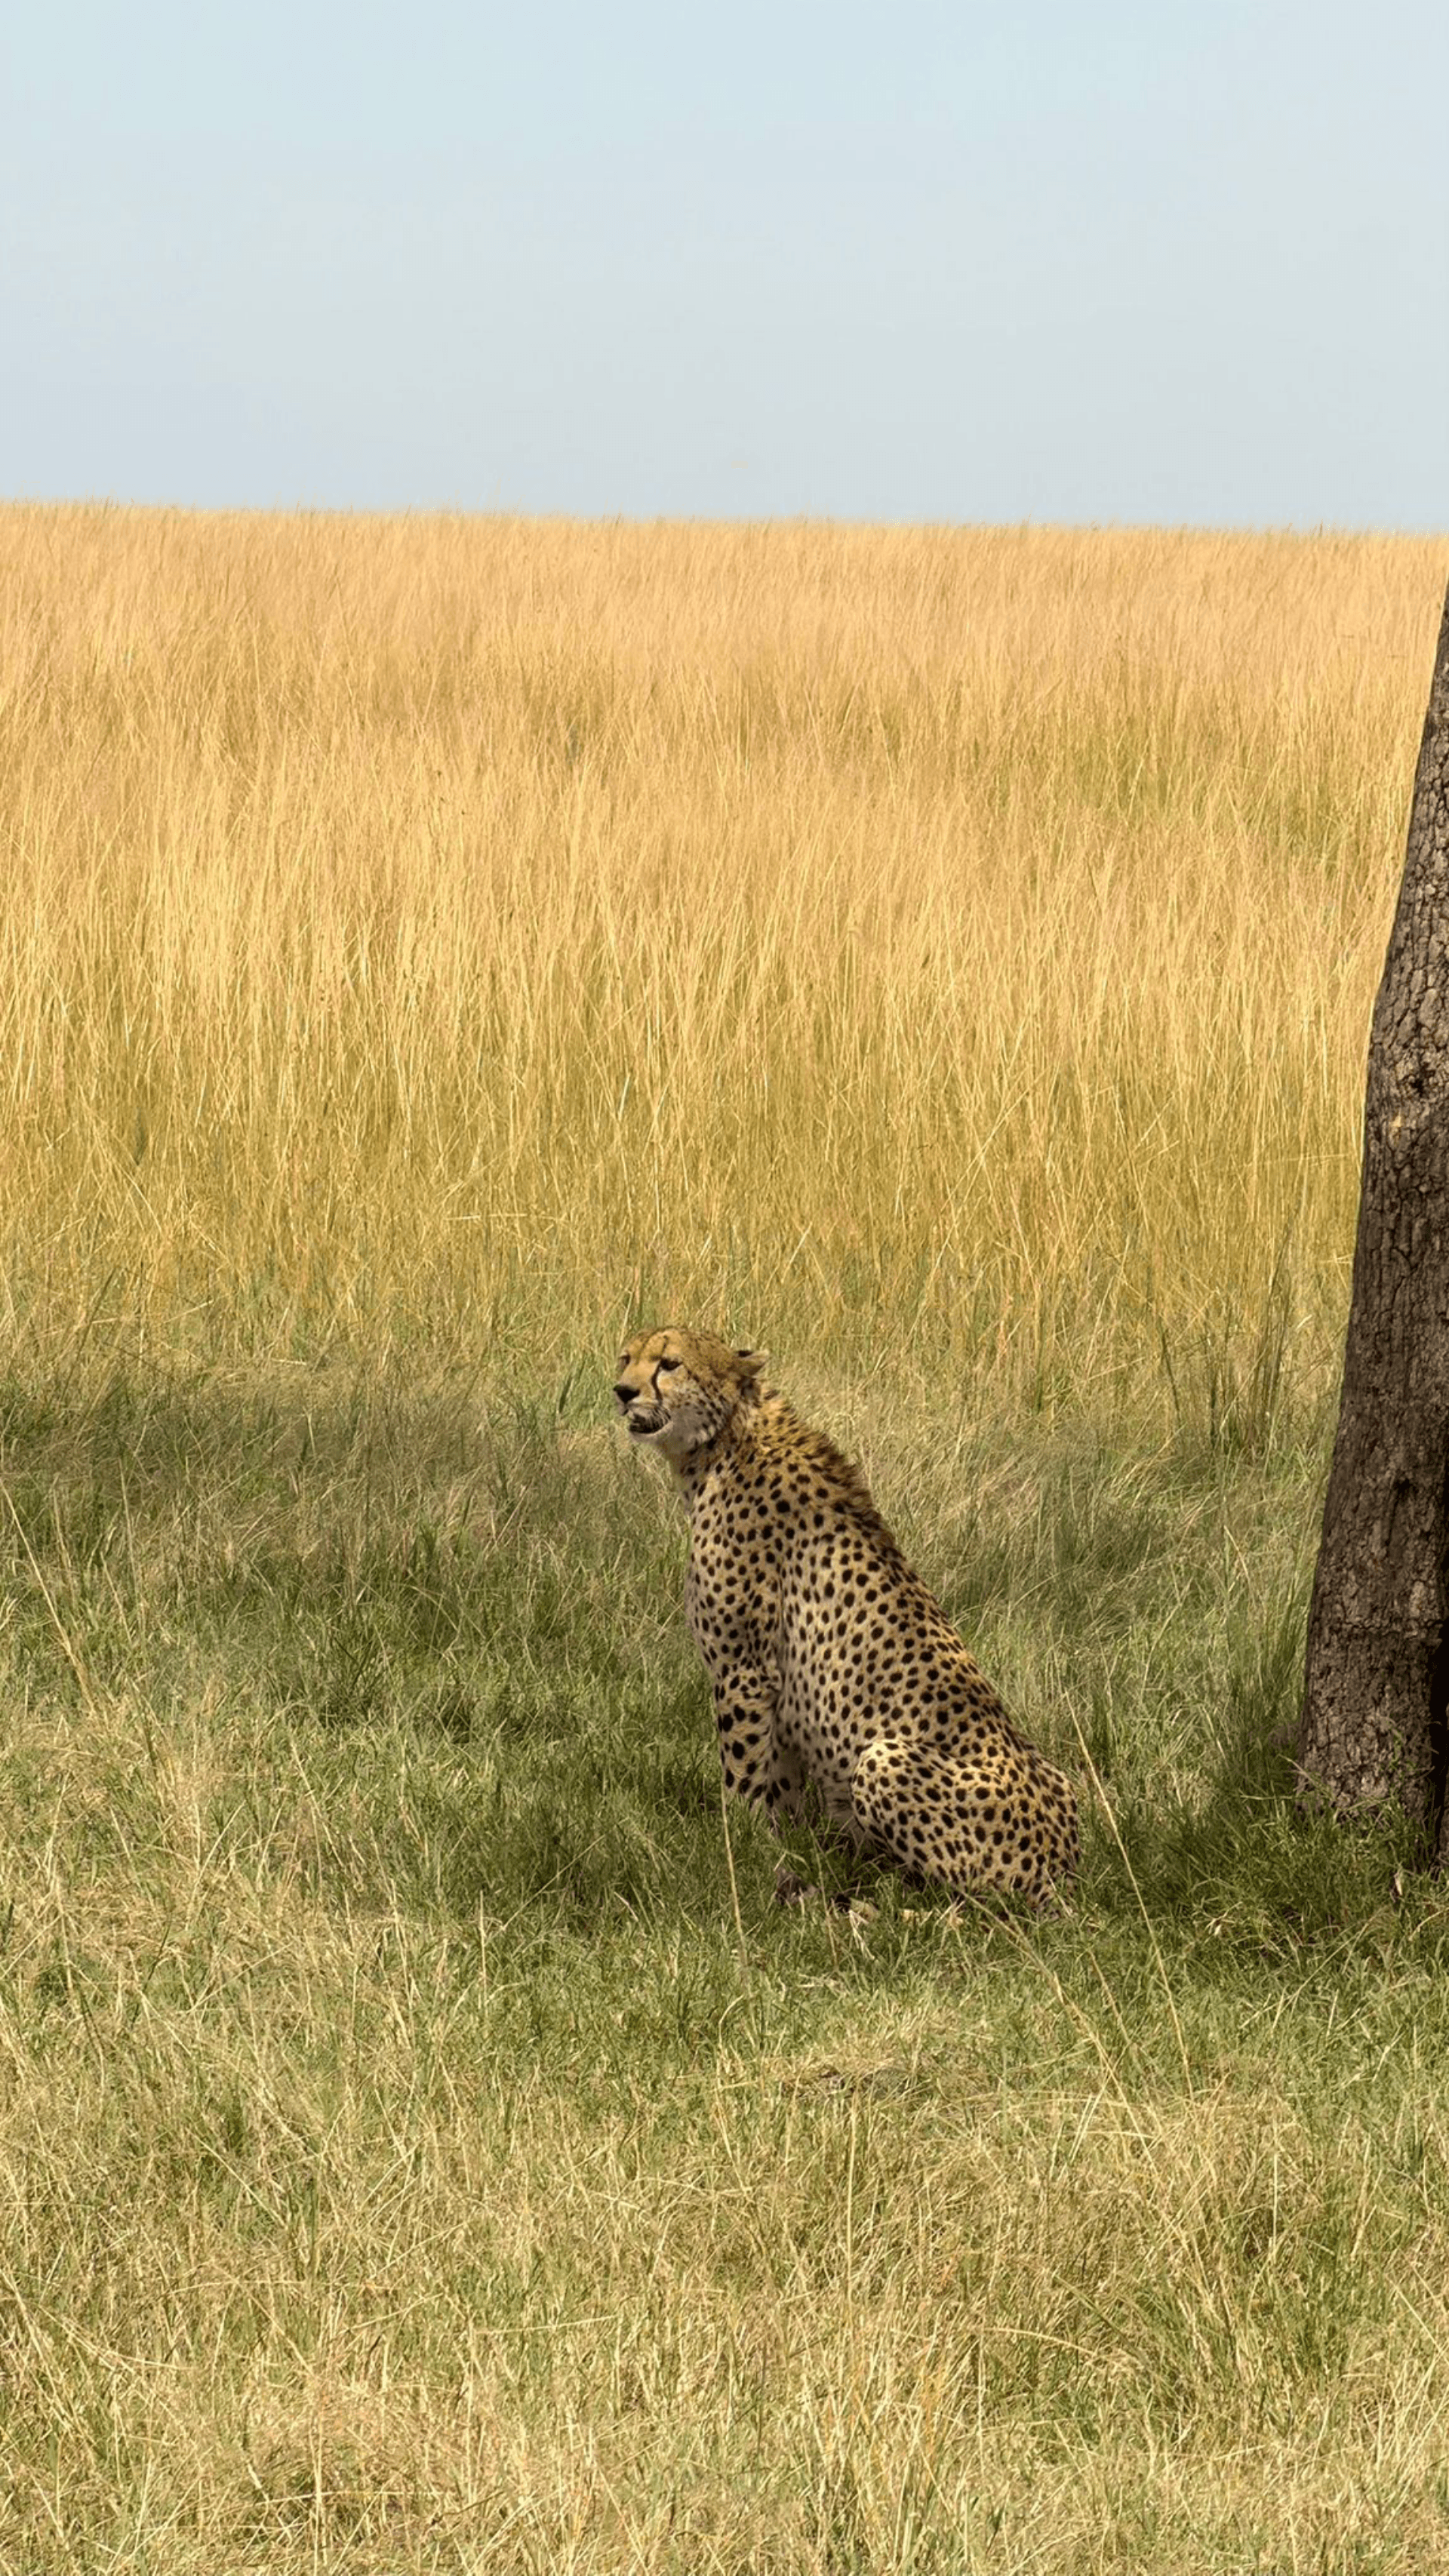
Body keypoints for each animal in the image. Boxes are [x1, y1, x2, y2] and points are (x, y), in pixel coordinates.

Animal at [613, 1326, 1078, 1908]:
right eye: (626, 1358)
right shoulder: (781, 1692)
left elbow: (743, 1771)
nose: (622, 1391)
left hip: (884, 1759)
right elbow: (780, 1781)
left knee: (956, 1900)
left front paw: (738, 1844)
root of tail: (1063, 1868)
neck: (727, 1439)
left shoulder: (744, 1671)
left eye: (670, 1364)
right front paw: (784, 1843)